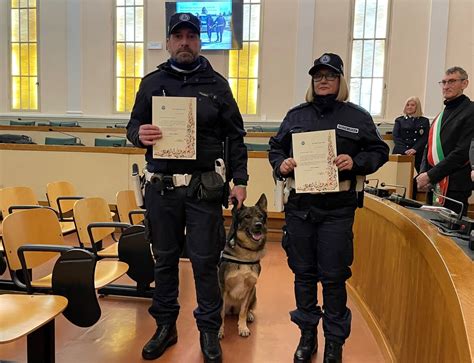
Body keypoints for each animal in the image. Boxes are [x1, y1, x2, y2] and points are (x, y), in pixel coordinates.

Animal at [218, 195, 266, 340]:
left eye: (260, 216)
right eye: (247, 217)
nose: (259, 225)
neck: (245, 254)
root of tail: (232, 309)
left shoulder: (250, 287)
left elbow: (243, 311)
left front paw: (243, 327)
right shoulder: (222, 287)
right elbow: (220, 313)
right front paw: (220, 330)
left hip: (254, 292)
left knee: (245, 309)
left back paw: (249, 316)